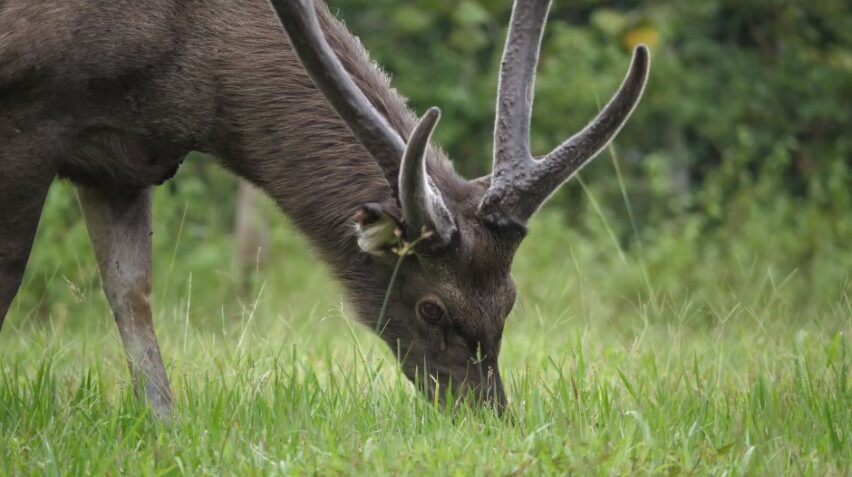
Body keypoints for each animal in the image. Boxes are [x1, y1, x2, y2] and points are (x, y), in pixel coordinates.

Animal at [0, 0, 648, 416]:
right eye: (432, 308)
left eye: (511, 300)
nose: (487, 415)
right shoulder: (32, 115)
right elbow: (11, 282)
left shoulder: (121, 162)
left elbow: (132, 295)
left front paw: (166, 427)